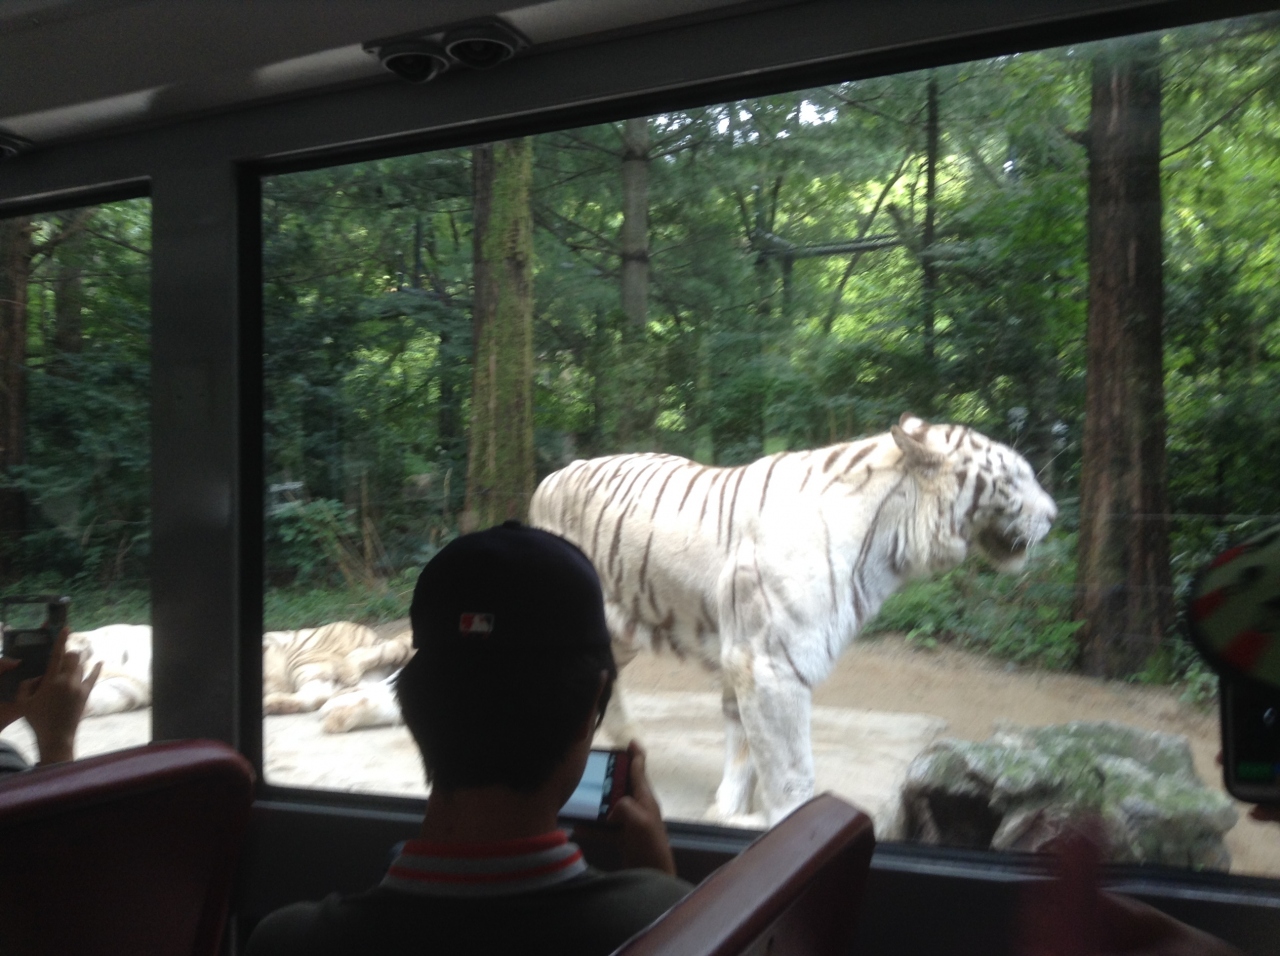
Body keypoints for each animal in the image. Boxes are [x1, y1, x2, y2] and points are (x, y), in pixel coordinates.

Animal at [524, 414, 1054, 824]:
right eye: (1015, 479)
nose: (1053, 516)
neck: (892, 542)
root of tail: (549, 478)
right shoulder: (771, 664)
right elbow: (790, 770)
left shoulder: (746, 659)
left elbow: (744, 748)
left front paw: (728, 811)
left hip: (621, 630)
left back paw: (629, 743)